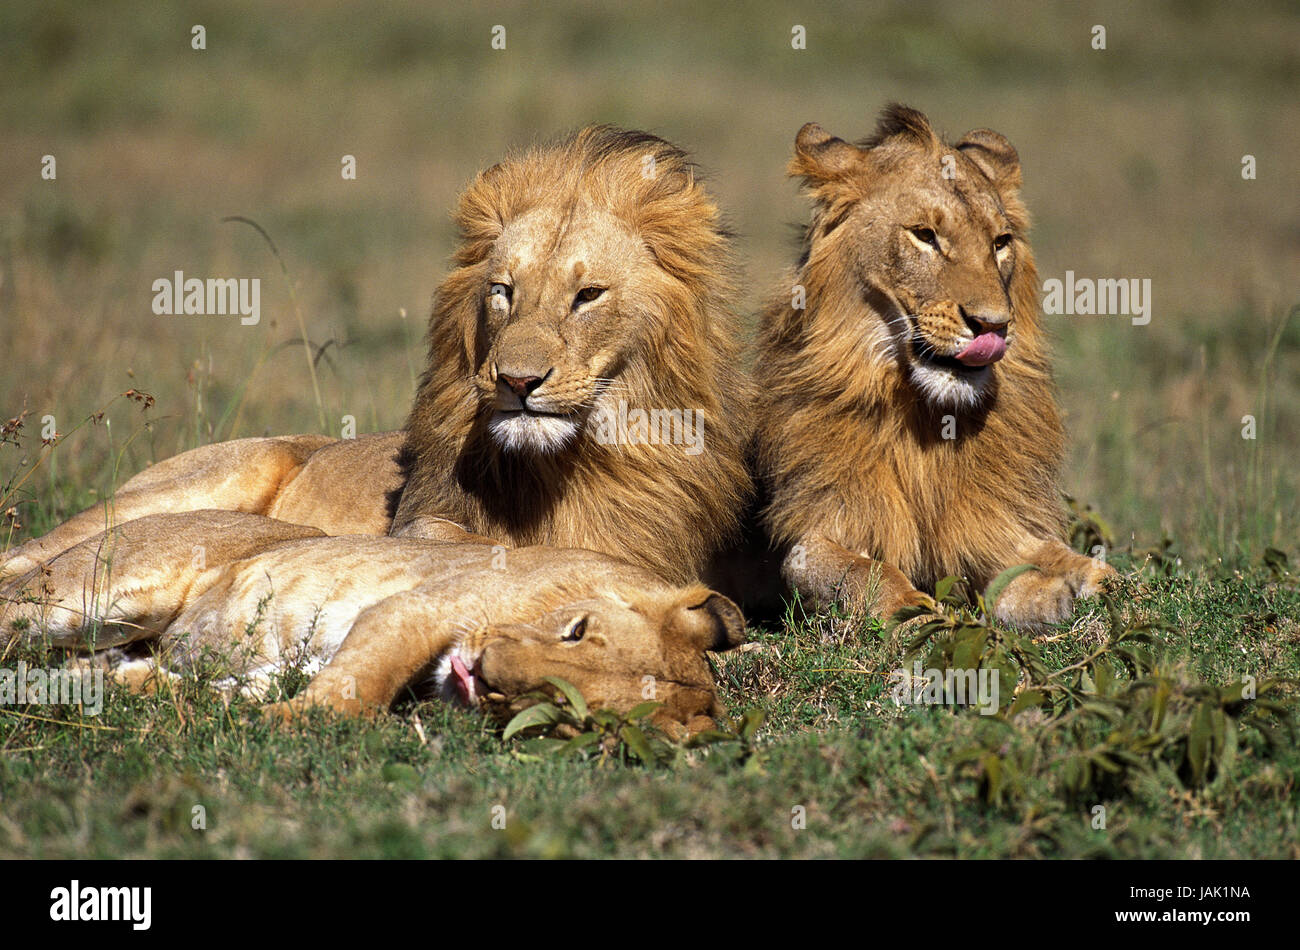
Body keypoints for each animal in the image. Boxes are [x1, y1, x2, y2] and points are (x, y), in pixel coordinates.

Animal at [1, 125, 751, 589]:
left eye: (587, 295)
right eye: (503, 291)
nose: (516, 380)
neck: (572, 464)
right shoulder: (419, 525)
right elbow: (476, 542)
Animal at [1, 511, 747, 737]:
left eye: (568, 712)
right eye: (577, 630)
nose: (481, 673)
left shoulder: (274, 667)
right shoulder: (412, 610)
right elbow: (353, 695)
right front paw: (271, 726)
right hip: (94, 596)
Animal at [755, 105, 1116, 629]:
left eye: (1000, 242)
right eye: (925, 235)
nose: (994, 325)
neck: (928, 416)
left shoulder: (998, 529)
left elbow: (1060, 563)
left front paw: (1083, 589)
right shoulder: (814, 533)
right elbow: (863, 572)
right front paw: (915, 613)